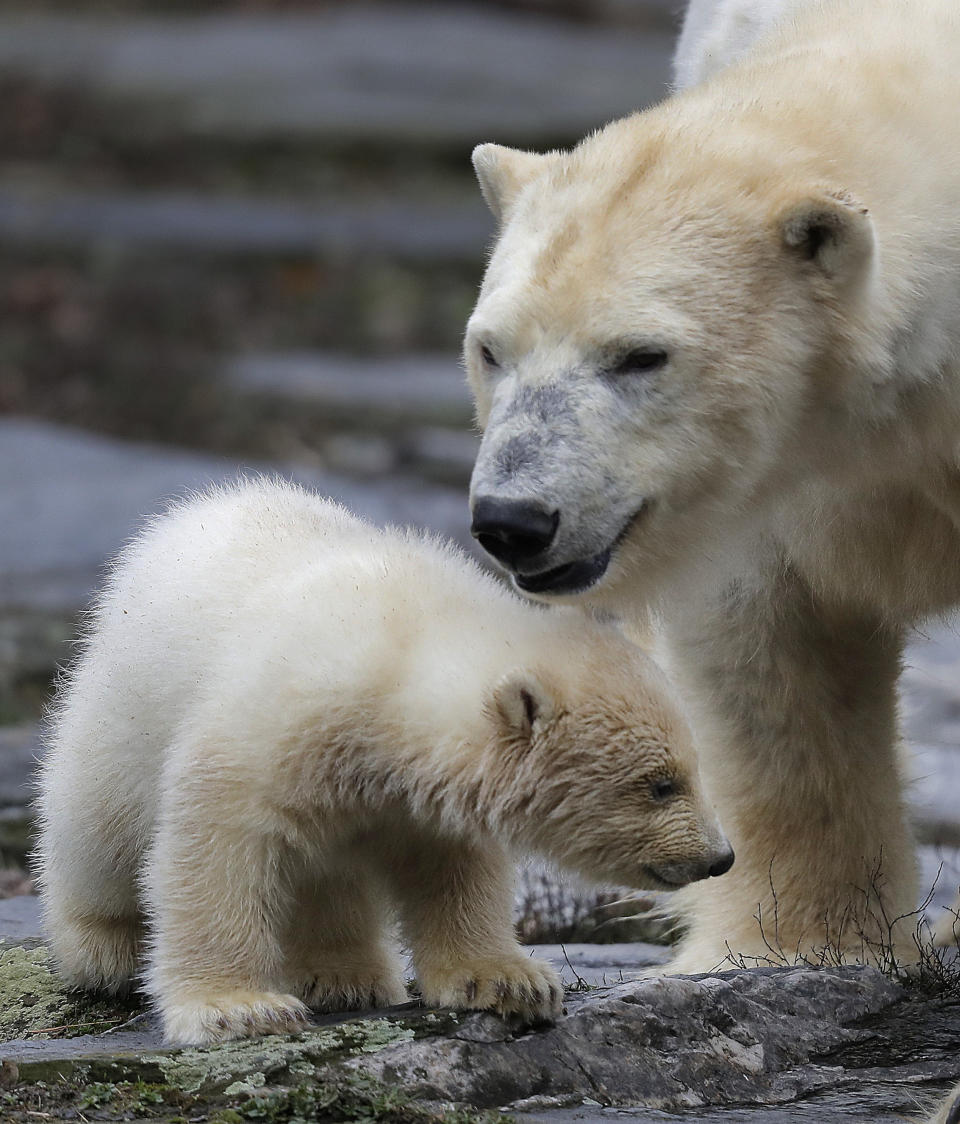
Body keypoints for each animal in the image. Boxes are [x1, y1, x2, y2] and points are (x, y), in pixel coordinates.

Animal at [465, 0, 960, 971]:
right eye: (491, 348)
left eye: (640, 356)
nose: (513, 520)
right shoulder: (758, 489)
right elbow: (763, 649)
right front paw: (794, 946)